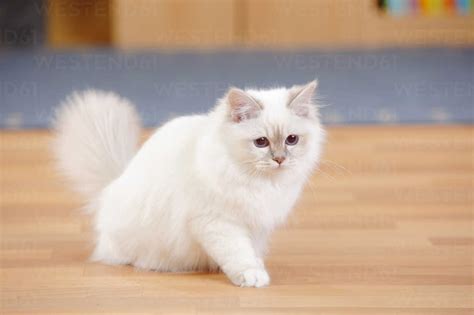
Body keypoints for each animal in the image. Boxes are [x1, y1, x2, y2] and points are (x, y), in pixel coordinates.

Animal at [52, 82, 326, 288]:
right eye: (261, 142)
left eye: (291, 140)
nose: (279, 159)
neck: (258, 181)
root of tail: (111, 187)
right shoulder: (217, 222)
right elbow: (238, 252)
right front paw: (251, 275)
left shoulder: (256, 223)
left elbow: (251, 251)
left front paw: (256, 267)